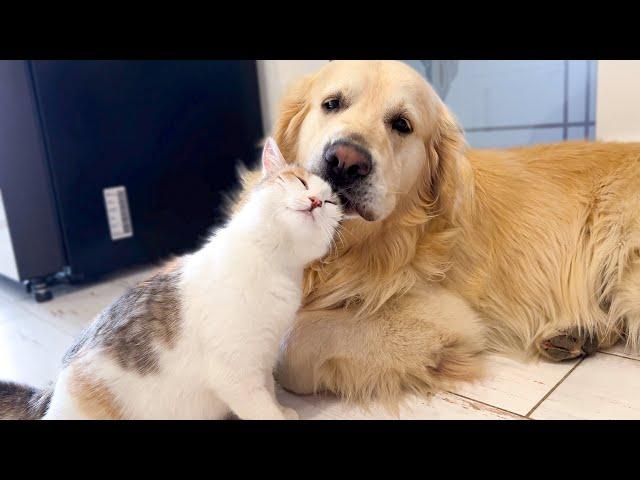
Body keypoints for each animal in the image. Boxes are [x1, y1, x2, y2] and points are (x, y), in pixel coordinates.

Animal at [0, 138, 344, 420]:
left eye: (330, 203)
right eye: (300, 181)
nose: (316, 201)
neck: (272, 262)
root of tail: (50, 392)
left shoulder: (261, 360)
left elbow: (269, 393)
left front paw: (283, 410)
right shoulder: (235, 373)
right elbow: (261, 410)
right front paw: (278, 415)